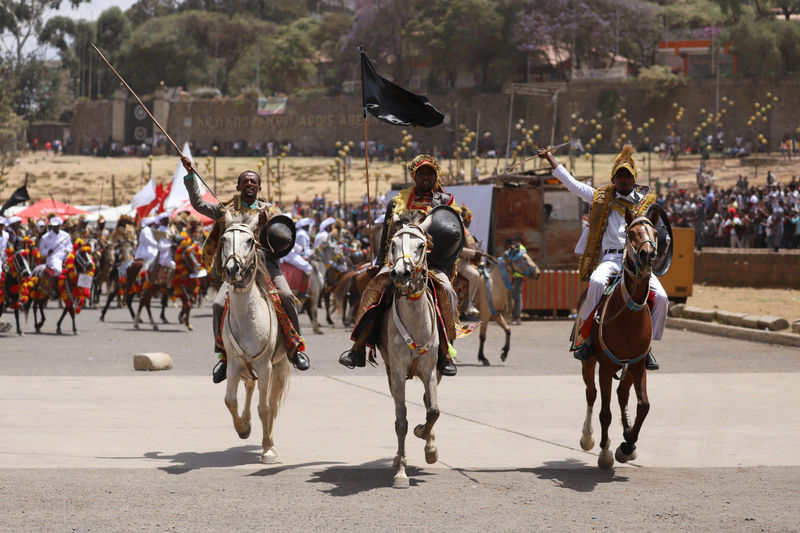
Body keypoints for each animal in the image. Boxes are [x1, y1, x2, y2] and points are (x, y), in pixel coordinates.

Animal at [219, 210, 290, 464]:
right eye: (223, 239)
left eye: (250, 241)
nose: (232, 269)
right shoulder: (234, 362)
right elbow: (230, 400)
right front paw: (242, 428)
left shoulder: (265, 365)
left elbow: (265, 407)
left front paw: (268, 448)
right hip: (245, 367)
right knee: (249, 386)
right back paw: (247, 423)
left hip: (279, 366)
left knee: (272, 402)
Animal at [580, 210, 660, 468]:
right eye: (631, 233)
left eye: (655, 232)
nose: (647, 255)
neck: (628, 315)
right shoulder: (605, 367)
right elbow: (605, 413)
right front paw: (605, 454)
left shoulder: (637, 364)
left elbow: (643, 406)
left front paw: (628, 444)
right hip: (589, 363)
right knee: (592, 394)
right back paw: (587, 437)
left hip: (628, 369)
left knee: (622, 395)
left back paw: (627, 436)